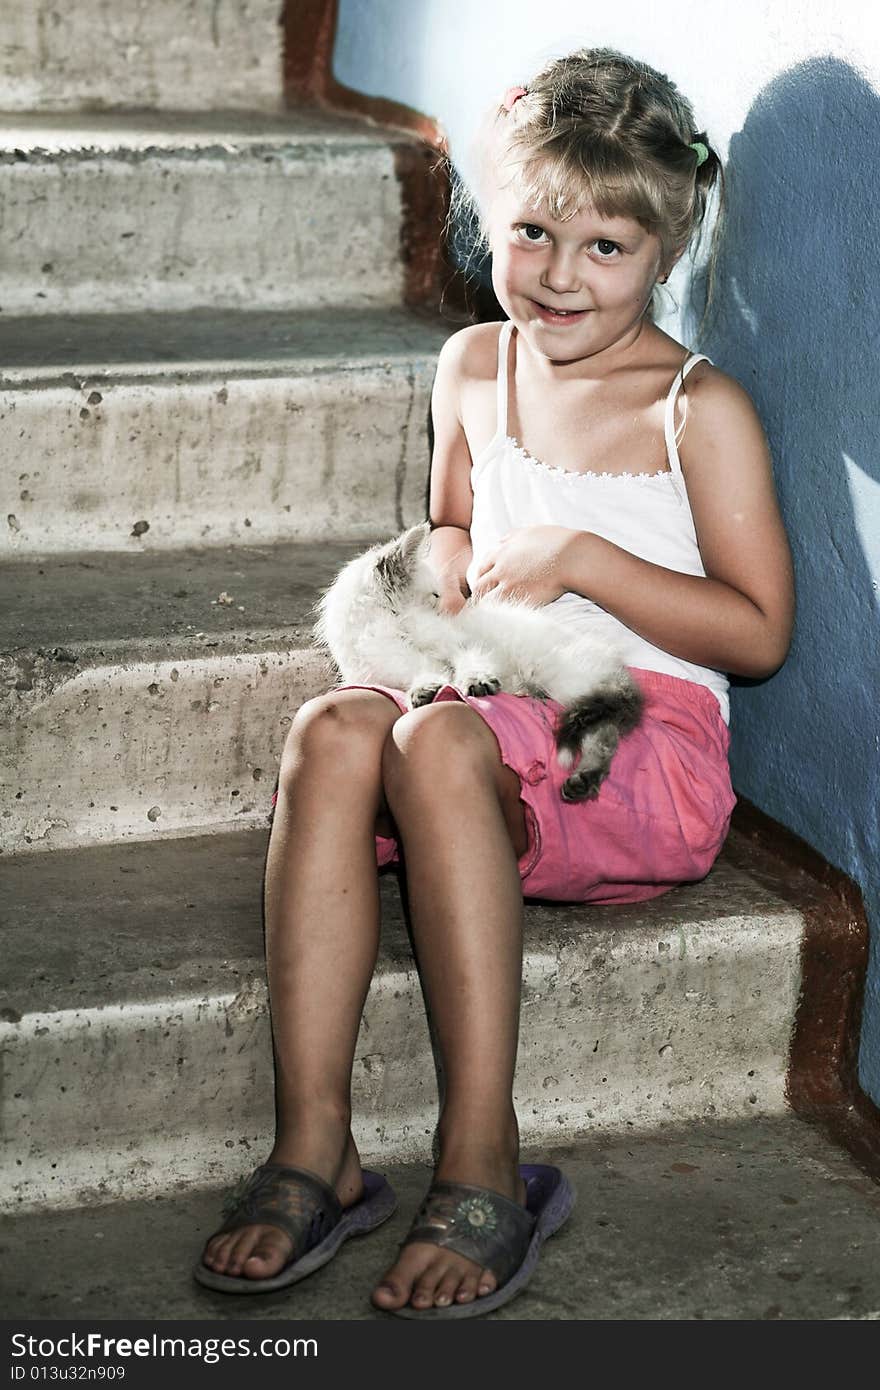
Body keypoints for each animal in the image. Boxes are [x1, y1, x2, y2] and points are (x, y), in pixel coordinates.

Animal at [312, 522, 642, 806]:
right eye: (434, 595)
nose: (446, 609)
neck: (389, 629)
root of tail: (615, 666)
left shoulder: (462, 643)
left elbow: (468, 660)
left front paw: (476, 680)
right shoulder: (382, 670)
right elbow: (418, 673)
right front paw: (424, 688)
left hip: (565, 678)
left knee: (603, 728)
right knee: (604, 732)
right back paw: (584, 777)